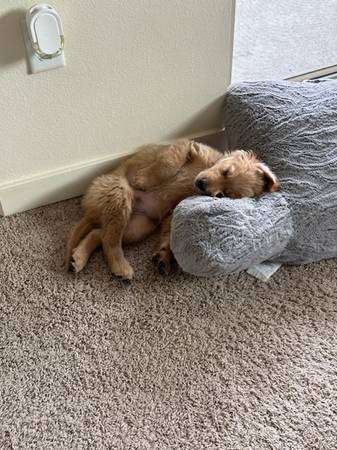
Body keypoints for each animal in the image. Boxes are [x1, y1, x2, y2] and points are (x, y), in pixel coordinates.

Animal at [66, 142, 278, 280]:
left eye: (222, 195)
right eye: (226, 171)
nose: (202, 184)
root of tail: (91, 207)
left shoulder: (172, 213)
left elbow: (169, 236)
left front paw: (164, 256)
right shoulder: (185, 146)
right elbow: (167, 164)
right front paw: (142, 180)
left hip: (138, 227)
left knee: (101, 235)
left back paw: (81, 258)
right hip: (119, 195)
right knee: (109, 239)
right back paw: (119, 266)